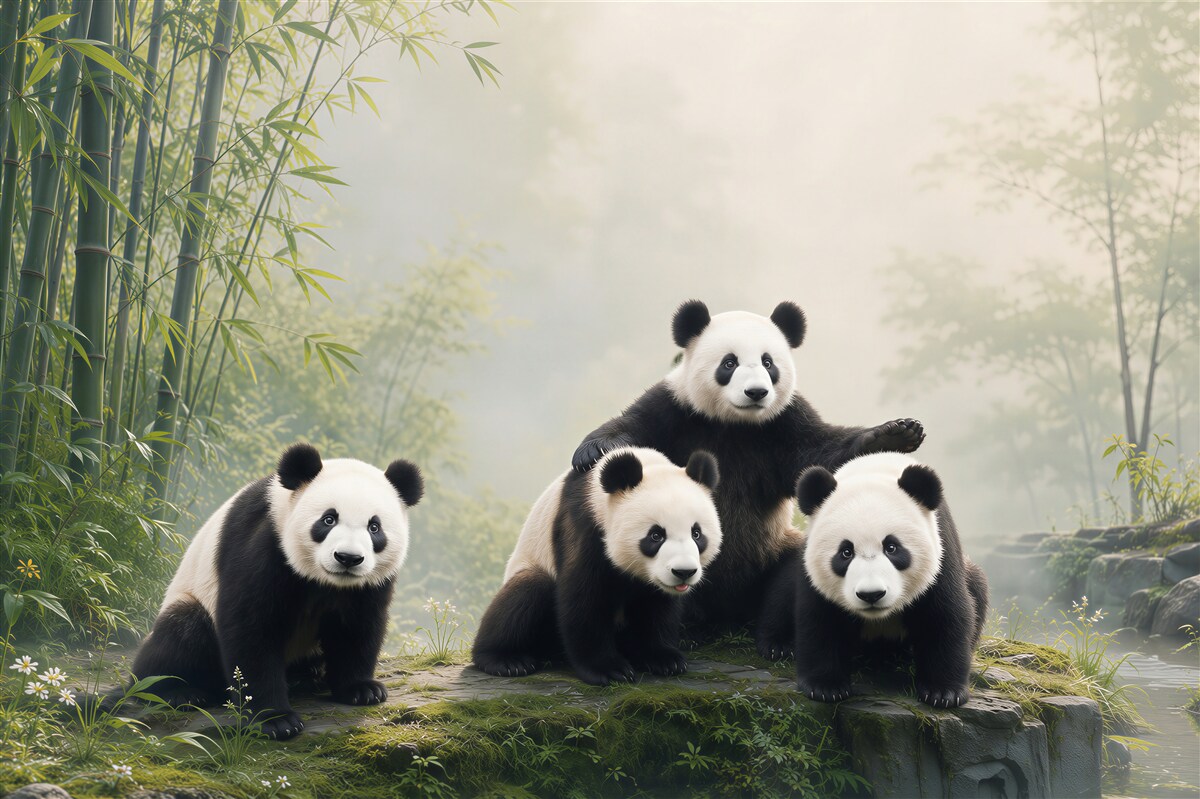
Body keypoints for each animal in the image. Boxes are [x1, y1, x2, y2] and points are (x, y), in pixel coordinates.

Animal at [131, 443, 423, 739]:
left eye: (374, 527)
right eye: (328, 519)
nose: (348, 558)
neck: (326, 581)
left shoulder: (368, 584)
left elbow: (357, 626)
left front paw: (362, 689)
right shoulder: (266, 543)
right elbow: (251, 626)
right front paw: (275, 720)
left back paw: (306, 676)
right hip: (191, 599)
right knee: (181, 634)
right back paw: (179, 691)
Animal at [472, 447, 722, 686]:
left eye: (697, 534)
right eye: (656, 535)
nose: (684, 572)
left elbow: (656, 605)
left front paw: (663, 658)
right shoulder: (585, 527)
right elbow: (584, 598)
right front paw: (609, 670)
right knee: (527, 592)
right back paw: (505, 660)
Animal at [571, 299, 925, 657]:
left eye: (769, 363)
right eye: (730, 363)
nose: (756, 392)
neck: (734, 423)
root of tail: (730, 614)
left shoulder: (784, 423)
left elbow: (821, 452)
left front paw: (896, 434)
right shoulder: (674, 411)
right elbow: (633, 428)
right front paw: (592, 452)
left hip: (775, 549)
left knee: (791, 575)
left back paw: (776, 640)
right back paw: (689, 631)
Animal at [793, 452, 988, 708]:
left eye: (892, 547)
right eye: (846, 552)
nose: (871, 595)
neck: (874, 468)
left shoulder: (941, 551)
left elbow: (947, 614)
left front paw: (943, 693)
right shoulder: (812, 572)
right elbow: (819, 618)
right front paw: (826, 687)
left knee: (978, 586)